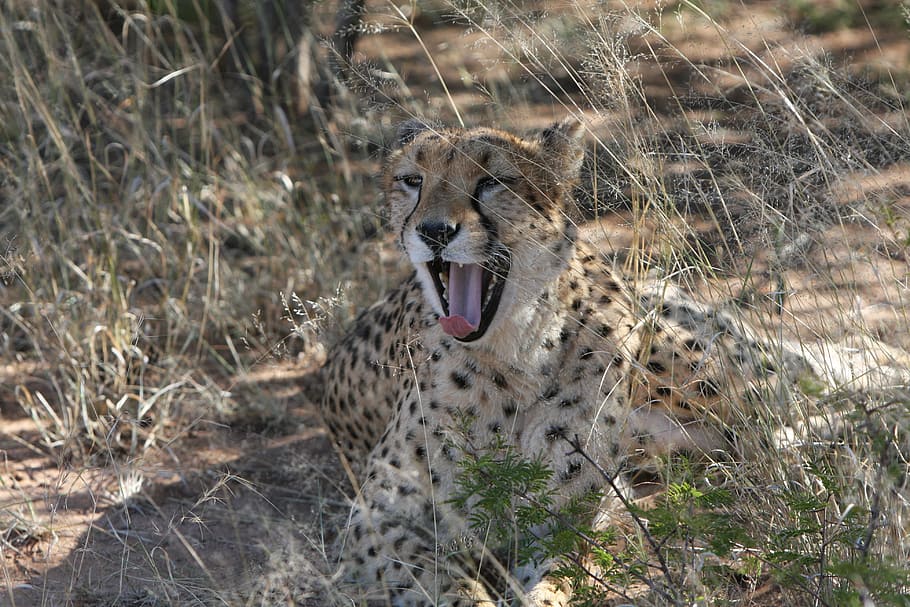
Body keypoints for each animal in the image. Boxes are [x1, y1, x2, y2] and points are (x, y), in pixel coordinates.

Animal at [320, 118, 908, 606]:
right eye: (412, 180)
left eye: (492, 182)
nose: (435, 232)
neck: (509, 359)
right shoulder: (376, 524)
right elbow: (441, 581)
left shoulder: (561, 518)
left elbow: (555, 581)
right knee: (764, 431)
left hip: (688, 367)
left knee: (796, 397)